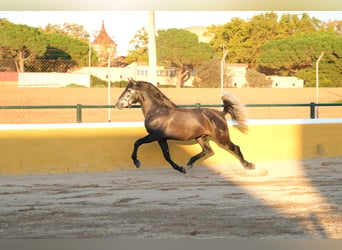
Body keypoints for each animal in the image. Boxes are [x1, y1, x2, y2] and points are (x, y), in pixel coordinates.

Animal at [115, 79, 254, 173]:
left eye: (129, 90)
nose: (118, 104)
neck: (157, 111)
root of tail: (221, 113)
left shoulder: (154, 136)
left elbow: (137, 142)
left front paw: (137, 162)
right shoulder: (161, 138)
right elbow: (166, 156)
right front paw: (180, 168)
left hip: (222, 138)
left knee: (235, 148)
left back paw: (248, 165)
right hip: (201, 137)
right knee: (207, 151)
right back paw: (189, 164)